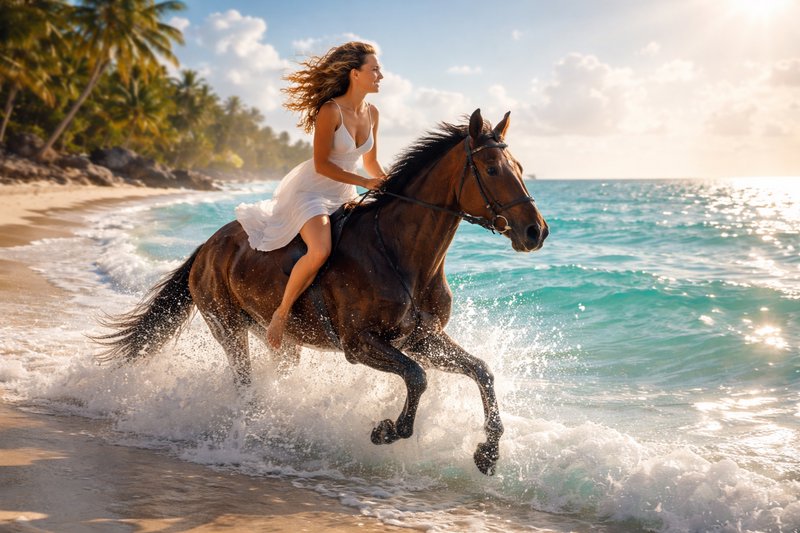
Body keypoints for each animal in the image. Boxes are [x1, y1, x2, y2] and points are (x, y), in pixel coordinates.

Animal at [97, 109, 548, 475]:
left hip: (280, 340)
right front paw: (388, 430)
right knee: (243, 383)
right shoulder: (360, 343)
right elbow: (417, 378)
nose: (536, 231)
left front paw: (488, 453)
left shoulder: (423, 339)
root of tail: (208, 246)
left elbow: (481, 371)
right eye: (491, 168)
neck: (400, 253)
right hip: (227, 328)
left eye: (520, 166)